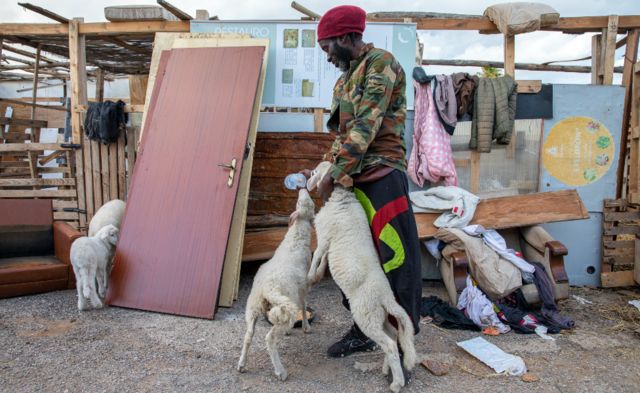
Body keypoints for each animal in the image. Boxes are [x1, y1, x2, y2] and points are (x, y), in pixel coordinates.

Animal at [236, 188, 316, 380]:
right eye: (302, 202)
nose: (303, 188)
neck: (296, 237)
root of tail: (267, 290)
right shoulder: (303, 287)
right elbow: (304, 305)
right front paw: (306, 327)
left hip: (253, 307)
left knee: (248, 336)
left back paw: (241, 364)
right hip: (284, 311)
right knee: (269, 339)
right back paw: (280, 371)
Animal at [308, 160, 418, 392]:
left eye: (314, 173)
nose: (306, 180)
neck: (341, 199)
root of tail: (386, 297)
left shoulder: (323, 238)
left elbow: (316, 257)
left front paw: (311, 277)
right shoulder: (328, 244)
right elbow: (323, 261)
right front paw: (319, 275)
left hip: (366, 316)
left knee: (390, 345)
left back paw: (396, 383)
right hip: (380, 318)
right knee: (394, 337)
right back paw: (387, 370)